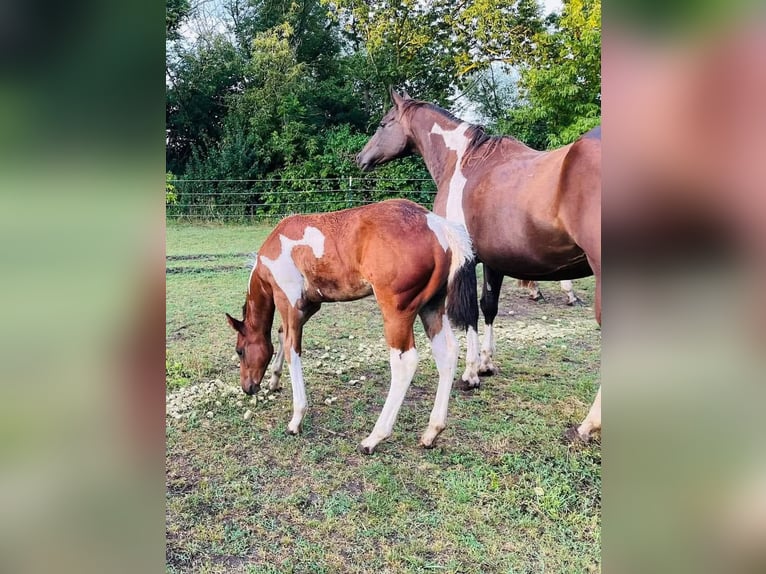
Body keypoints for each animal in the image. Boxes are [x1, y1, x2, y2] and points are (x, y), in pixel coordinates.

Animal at [224, 200, 474, 456]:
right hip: (432, 307)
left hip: (397, 313)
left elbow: (292, 347)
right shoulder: (310, 305)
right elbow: (282, 335)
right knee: (447, 353)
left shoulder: (289, 301)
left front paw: (296, 419)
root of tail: (438, 226)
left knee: (405, 362)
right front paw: (274, 381)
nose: (248, 387)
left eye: (239, 351)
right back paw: (431, 432)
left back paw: (373, 438)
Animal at [356, 91, 604, 440]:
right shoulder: (494, 260)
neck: (465, 163)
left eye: (383, 123)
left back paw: (589, 423)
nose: (359, 158)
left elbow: (469, 312)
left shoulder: (468, 260)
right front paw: (486, 363)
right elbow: (489, 307)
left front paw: (471, 371)